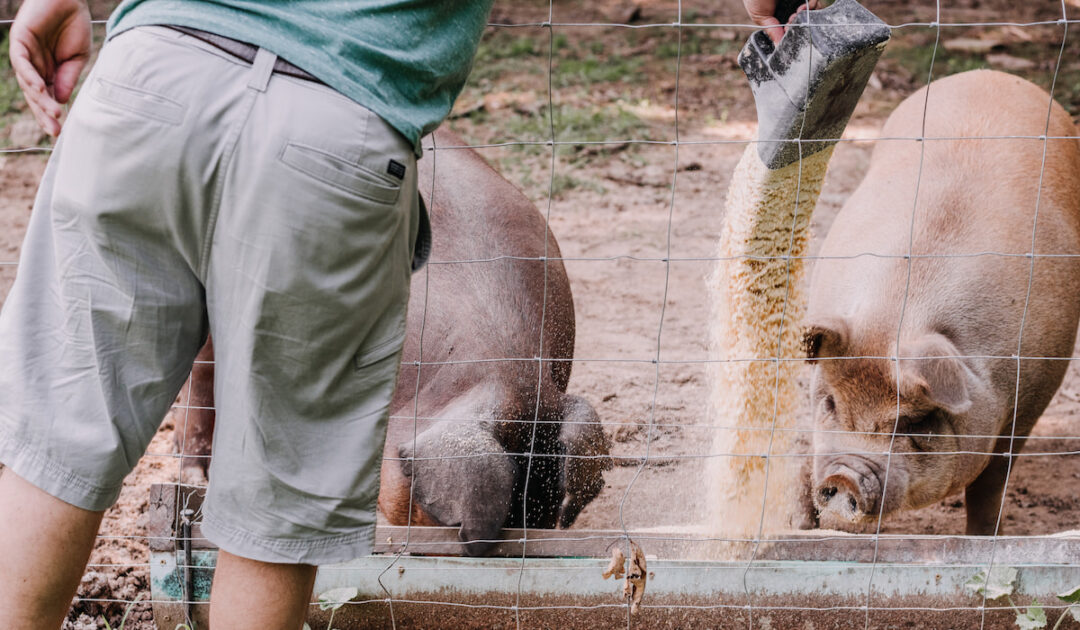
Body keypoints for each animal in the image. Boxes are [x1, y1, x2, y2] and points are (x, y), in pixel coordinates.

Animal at [803, 70, 1080, 535]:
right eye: (830, 403)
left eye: (915, 421)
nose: (843, 476)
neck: (894, 318)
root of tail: (993, 75)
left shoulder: (1029, 402)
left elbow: (989, 485)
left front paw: (982, 539)